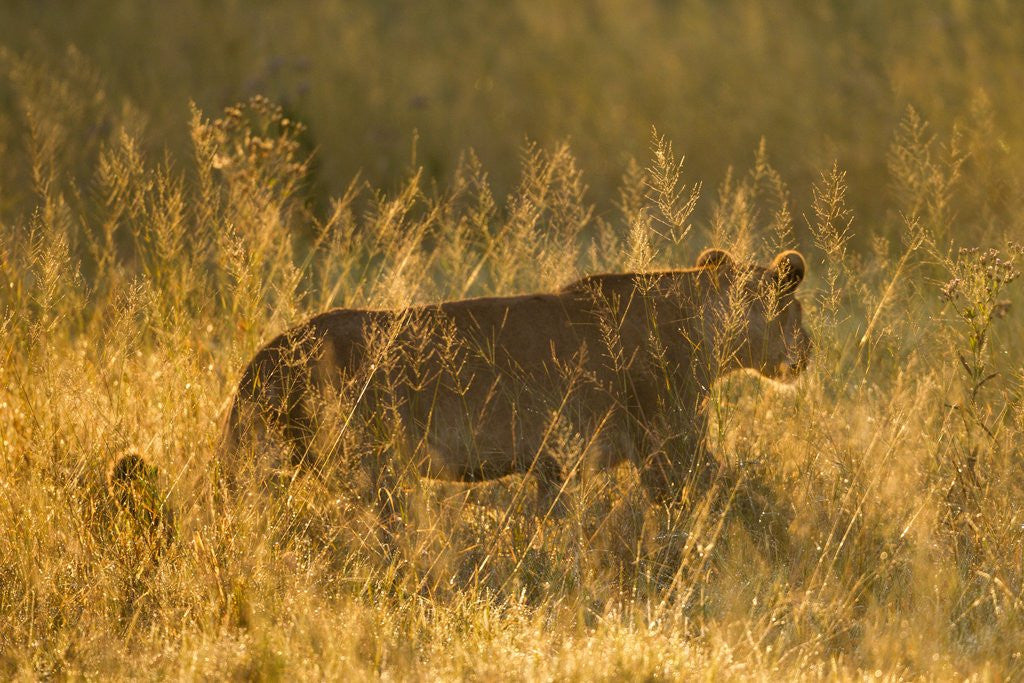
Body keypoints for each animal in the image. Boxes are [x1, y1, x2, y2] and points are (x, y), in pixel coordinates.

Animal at [221, 248, 811, 524]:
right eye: (797, 311)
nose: (811, 347)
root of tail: (266, 356)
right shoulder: (669, 445)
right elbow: (720, 492)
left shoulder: (558, 464)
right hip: (362, 461)